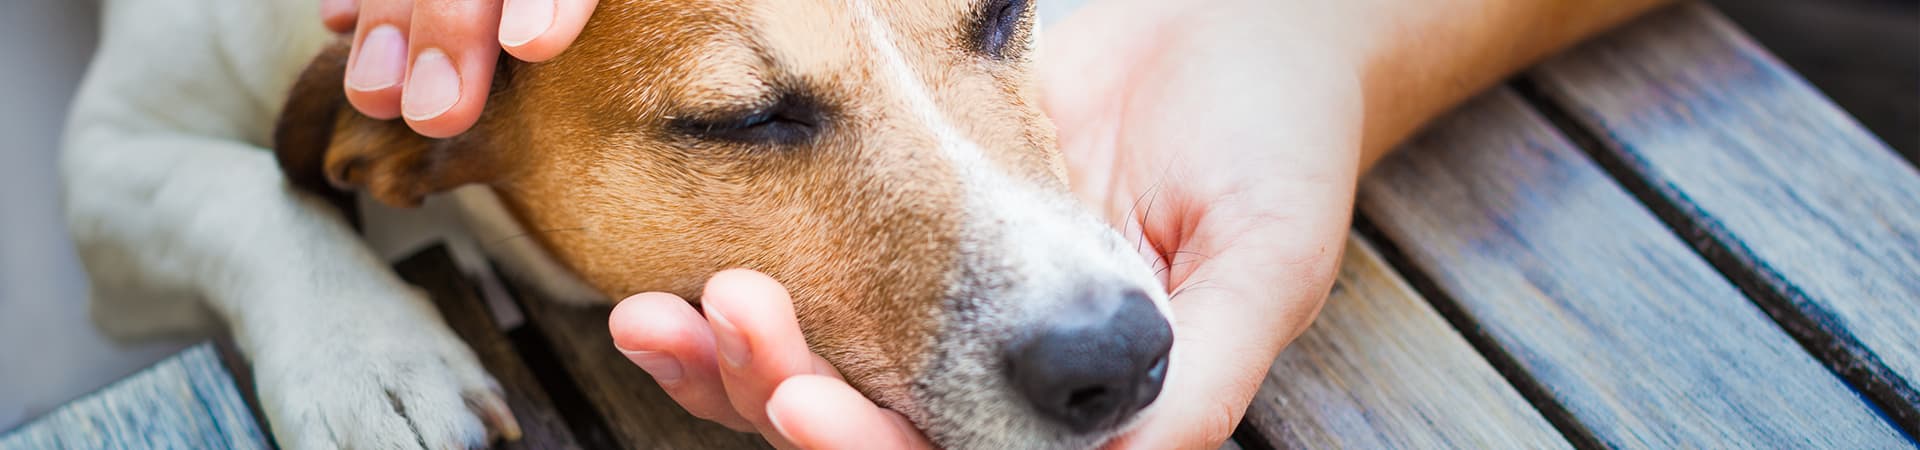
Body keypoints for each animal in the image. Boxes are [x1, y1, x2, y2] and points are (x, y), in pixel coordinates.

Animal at [63, 0, 1167, 446]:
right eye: (741, 119)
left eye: (1004, 11)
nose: (1120, 353)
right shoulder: (105, 159)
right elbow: (240, 190)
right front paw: (365, 362)